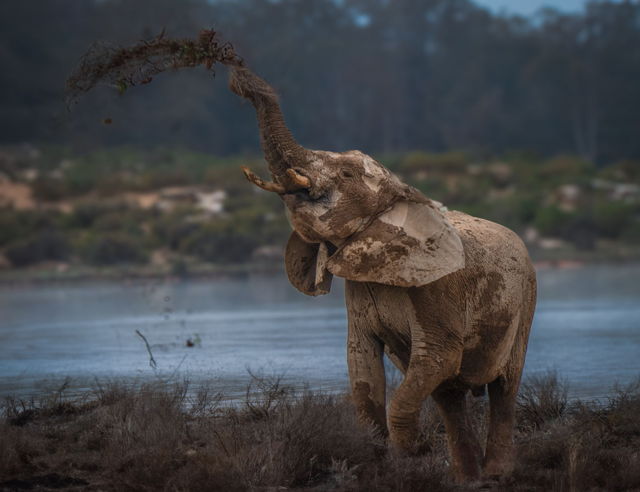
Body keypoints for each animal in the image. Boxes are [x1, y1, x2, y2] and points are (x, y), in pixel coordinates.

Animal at [229, 66, 537, 483]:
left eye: (345, 173)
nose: (242, 79)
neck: (403, 194)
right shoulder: (359, 288)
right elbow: (362, 362)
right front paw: (377, 459)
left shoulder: (436, 287)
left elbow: (438, 357)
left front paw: (415, 449)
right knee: (450, 396)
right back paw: (467, 478)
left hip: (524, 299)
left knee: (503, 385)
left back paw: (495, 476)